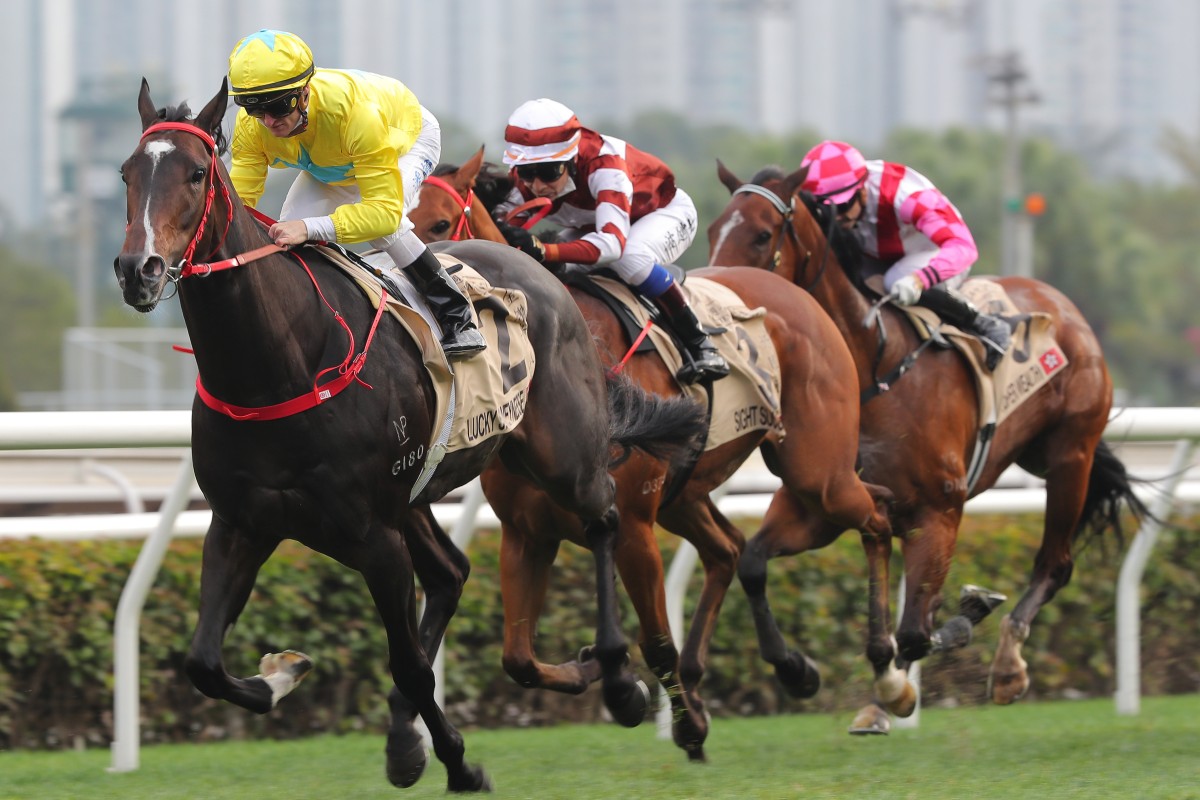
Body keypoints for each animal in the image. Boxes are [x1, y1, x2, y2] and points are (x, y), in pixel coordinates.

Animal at [113, 77, 705, 791]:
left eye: (197, 174)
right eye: (126, 173)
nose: (138, 269)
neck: (278, 364)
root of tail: (541, 272)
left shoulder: (374, 536)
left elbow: (411, 667)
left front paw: (461, 764)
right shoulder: (241, 523)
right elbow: (202, 662)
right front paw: (282, 675)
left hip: (563, 456)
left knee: (603, 521)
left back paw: (618, 678)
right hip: (420, 494)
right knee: (452, 573)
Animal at [410, 148, 892, 758]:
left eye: (442, 223)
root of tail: (800, 297)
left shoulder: (635, 525)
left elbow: (656, 641)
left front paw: (665, 713)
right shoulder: (526, 533)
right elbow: (517, 658)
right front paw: (614, 680)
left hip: (817, 473)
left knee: (877, 514)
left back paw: (889, 666)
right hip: (688, 495)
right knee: (729, 550)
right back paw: (785, 666)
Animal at [705, 158, 1147, 734]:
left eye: (761, 234)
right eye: (713, 230)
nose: (715, 295)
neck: (870, 368)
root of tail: (1062, 304)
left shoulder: (938, 509)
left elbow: (916, 630)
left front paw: (939, 643)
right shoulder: (819, 505)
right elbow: (755, 562)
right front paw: (805, 672)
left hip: (1071, 457)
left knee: (1055, 564)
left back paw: (1008, 666)